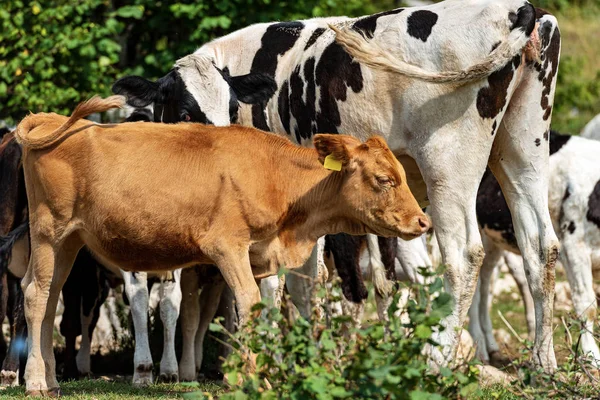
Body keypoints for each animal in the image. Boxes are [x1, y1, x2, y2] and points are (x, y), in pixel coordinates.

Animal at [14, 94, 426, 396]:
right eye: (384, 179)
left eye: (402, 176)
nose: (423, 221)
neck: (276, 176)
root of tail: (50, 120)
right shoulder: (226, 247)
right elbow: (248, 304)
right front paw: (253, 377)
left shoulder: (260, 254)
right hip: (49, 232)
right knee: (35, 296)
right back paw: (34, 382)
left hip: (70, 241)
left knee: (49, 298)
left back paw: (52, 381)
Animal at [113, 1, 564, 372]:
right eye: (187, 111)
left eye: (227, 106)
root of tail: (519, 7)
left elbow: (289, 283)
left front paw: (284, 358)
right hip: (522, 149)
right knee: (540, 245)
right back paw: (543, 365)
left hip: (448, 162)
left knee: (463, 256)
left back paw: (438, 362)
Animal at [472, 130, 600, 366]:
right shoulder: (574, 246)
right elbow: (586, 305)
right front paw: (592, 356)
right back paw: (479, 350)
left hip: (492, 240)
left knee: (485, 284)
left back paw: (491, 347)